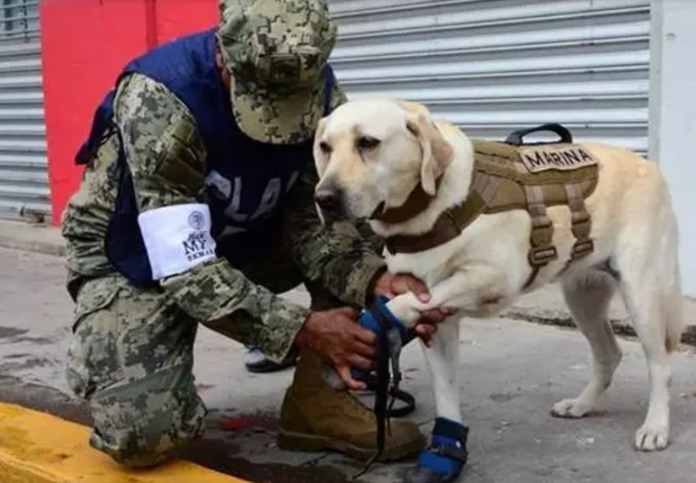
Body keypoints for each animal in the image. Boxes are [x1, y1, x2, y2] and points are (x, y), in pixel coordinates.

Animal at [312, 96, 684, 482]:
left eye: (368, 143)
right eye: (325, 147)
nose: (323, 198)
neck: (428, 205)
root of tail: (649, 165)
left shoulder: (494, 277)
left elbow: (403, 303)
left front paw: (372, 324)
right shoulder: (440, 323)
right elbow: (445, 391)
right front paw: (445, 451)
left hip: (642, 293)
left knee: (660, 365)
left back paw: (655, 427)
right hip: (583, 296)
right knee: (609, 353)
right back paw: (581, 405)